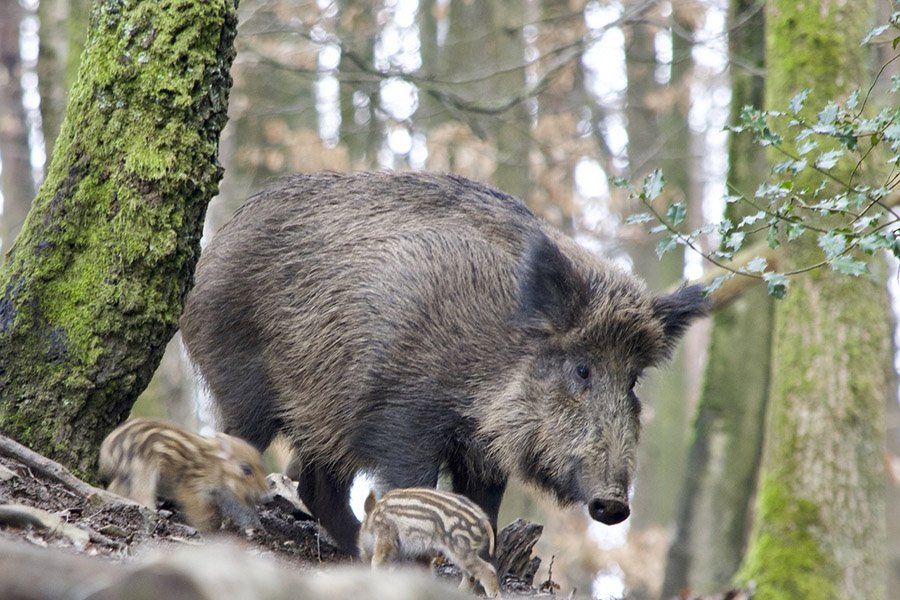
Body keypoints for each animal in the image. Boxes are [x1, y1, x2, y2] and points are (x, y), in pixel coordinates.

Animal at [99, 418, 269, 531]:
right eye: (246, 469)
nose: (268, 497)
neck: (215, 467)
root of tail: (107, 448)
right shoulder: (189, 487)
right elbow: (199, 512)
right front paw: (207, 530)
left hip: (124, 474)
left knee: (114, 489)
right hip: (143, 468)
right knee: (141, 495)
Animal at [179, 171, 707, 552]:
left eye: (633, 380)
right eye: (582, 369)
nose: (615, 504)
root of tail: (212, 249)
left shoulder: (485, 453)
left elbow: (485, 512)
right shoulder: (403, 418)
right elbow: (416, 489)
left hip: (325, 416)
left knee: (316, 486)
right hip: (244, 381)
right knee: (237, 447)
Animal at [359, 487, 500, 598]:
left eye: (361, 531)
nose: (362, 557)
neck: (374, 518)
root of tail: (483, 521)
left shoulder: (385, 534)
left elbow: (377, 561)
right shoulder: (422, 554)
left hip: (460, 549)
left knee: (487, 569)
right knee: (471, 576)